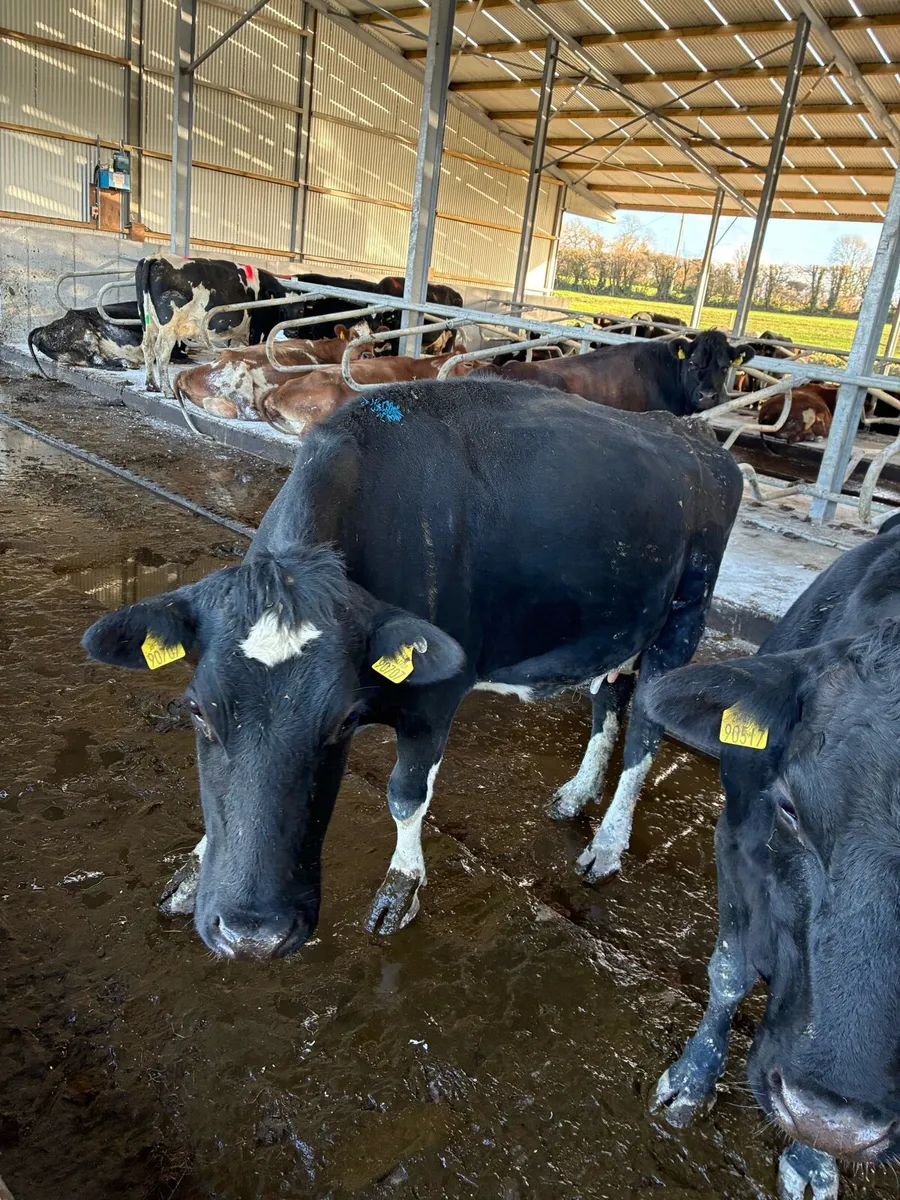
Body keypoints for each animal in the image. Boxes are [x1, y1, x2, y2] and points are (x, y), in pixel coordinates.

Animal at [81, 378, 742, 961]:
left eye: (344, 720)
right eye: (197, 709)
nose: (252, 934)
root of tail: (695, 437)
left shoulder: (436, 695)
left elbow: (405, 795)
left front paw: (401, 889)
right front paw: (193, 869)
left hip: (684, 618)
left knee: (646, 734)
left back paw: (607, 843)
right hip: (621, 625)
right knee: (609, 699)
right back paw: (578, 793)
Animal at [137, 254, 290, 396]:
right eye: (283, 309)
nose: (291, 332)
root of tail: (157, 257)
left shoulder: (237, 334)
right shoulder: (258, 329)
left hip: (147, 322)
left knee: (147, 347)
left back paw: (151, 385)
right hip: (169, 324)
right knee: (161, 351)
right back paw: (168, 391)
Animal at [171, 322, 377, 421]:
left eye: (375, 342)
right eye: (353, 336)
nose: (368, 355)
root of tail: (187, 373)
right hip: (239, 374)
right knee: (246, 412)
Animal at [647, 514, 900, 1198]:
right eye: (789, 807)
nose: (831, 1118)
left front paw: (813, 1159)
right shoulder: (736, 838)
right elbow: (730, 970)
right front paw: (691, 1079)